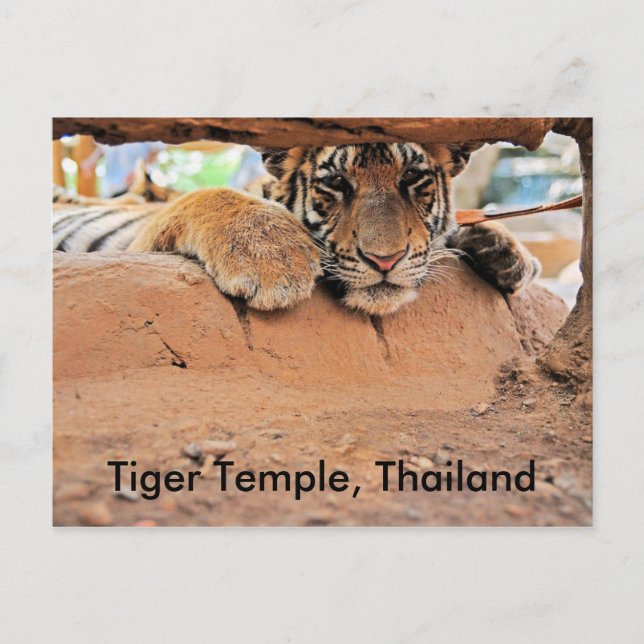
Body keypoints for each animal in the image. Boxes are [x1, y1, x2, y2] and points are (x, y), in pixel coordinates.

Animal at [53, 142, 540, 316]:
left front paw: (509, 254)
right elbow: (204, 194)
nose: (385, 261)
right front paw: (270, 258)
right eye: (336, 184)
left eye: (412, 180)